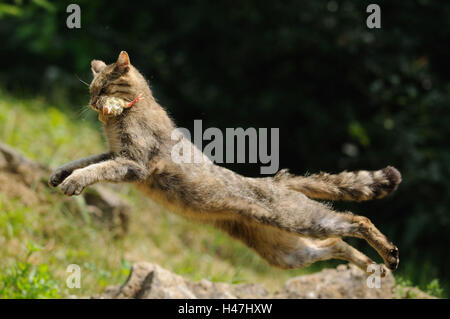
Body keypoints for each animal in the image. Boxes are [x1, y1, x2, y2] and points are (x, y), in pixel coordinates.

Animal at [48, 52, 400, 276]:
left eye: (104, 88)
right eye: (92, 90)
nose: (94, 103)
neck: (124, 115)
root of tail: (275, 180)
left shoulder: (133, 163)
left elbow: (95, 170)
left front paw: (74, 181)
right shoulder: (114, 154)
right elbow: (84, 160)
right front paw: (60, 173)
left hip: (300, 221)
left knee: (356, 220)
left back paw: (390, 255)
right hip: (285, 252)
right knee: (335, 243)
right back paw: (375, 269)